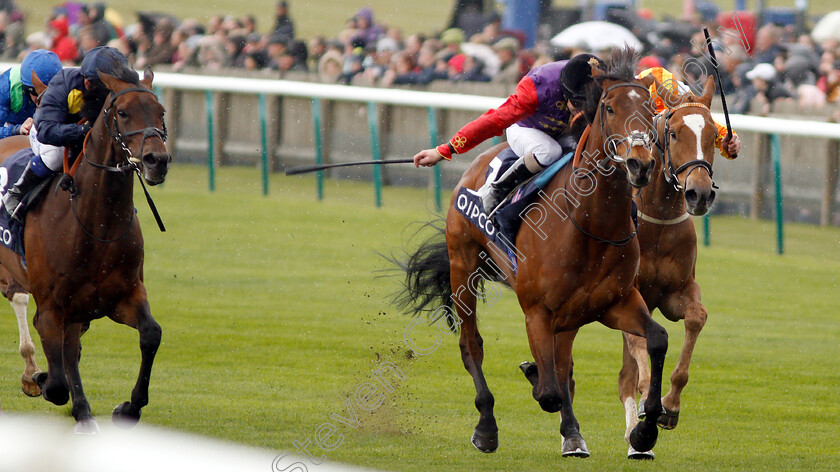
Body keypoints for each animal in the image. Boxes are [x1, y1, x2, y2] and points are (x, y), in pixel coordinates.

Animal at [0, 68, 171, 434]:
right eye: (123, 112)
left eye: (160, 112)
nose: (157, 160)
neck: (97, 226)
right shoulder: (51, 309)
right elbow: (56, 382)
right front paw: (39, 378)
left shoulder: (122, 296)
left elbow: (151, 334)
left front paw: (127, 407)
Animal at [392, 50, 668, 458]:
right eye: (609, 107)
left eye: (650, 108)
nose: (640, 162)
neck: (590, 225)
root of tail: (477, 165)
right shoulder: (537, 310)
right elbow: (549, 391)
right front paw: (533, 377)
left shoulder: (616, 302)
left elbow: (657, 339)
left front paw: (644, 432)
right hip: (463, 266)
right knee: (472, 345)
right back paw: (486, 428)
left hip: (570, 313)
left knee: (563, 363)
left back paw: (572, 435)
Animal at [612, 75, 720, 456]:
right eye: (673, 133)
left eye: (713, 135)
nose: (699, 194)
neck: (657, 222)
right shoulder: (627, 294)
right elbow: (638, 352)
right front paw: (649, 402)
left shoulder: (677, 293)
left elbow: (696, 317)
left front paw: (670, 406)